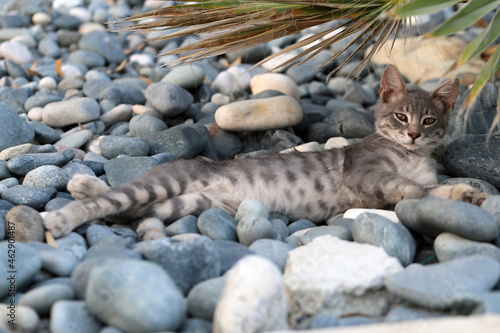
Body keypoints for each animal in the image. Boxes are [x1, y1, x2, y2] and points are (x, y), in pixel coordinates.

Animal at [43, 65, 488, 240]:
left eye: (428, 120)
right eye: (400, 116)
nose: (412, 134)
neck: (410, 156)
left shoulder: (424, 175)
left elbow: (436, 191)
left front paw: (467, 194)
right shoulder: (364, 172)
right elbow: (404, 186)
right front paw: (411, 193)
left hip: (188, 204)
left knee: (128, 212)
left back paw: (85, 189)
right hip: (165, 184)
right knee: (110, 201)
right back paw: (63, 215)